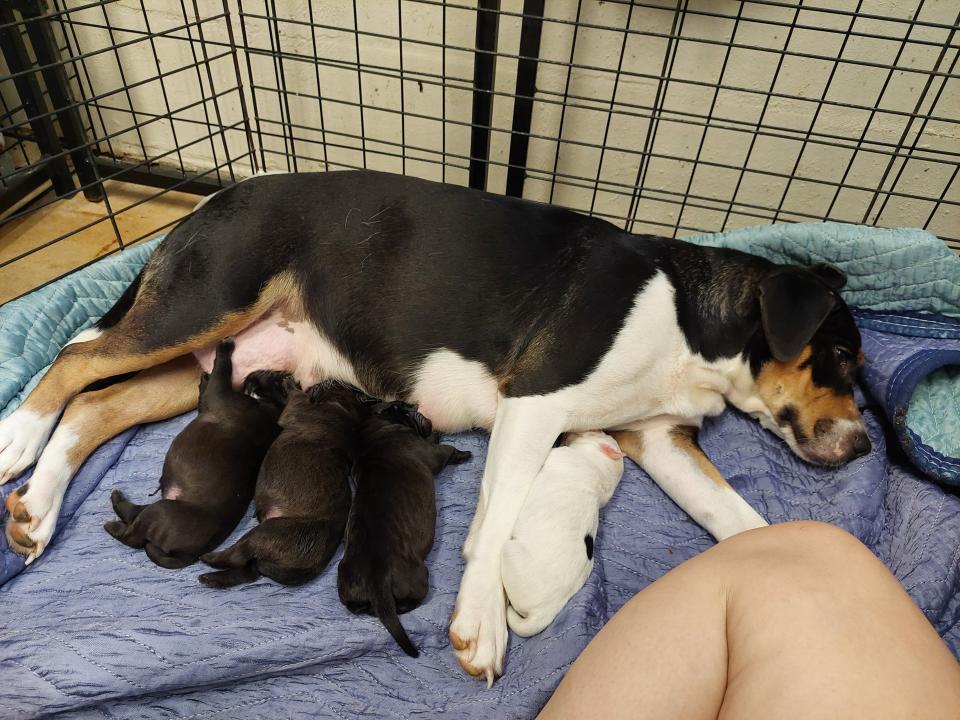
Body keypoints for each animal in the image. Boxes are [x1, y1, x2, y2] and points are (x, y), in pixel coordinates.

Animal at [107, 340, 284, 572]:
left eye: (279, 378)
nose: (260, 370)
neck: (273, 408)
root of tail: (187, 555)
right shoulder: (211, 402)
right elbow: (205, 394)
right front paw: (203, 381)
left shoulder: (220, 393)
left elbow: (222, 369)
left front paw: (224, 347)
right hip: (160, 506)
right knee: (134, 515)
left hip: (161, 511)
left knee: (133, 536)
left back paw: (114, 518)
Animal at [197, 376, 366, 584]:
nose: (328, 380)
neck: (345, 412)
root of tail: (310, 566)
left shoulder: (297, 409)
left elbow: (295, 397)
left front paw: (288, 384)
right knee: (249, 570)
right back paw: (211, 578)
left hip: (267, 531)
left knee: (238, 557)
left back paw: (210, 559)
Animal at [338, 416, 472, 660]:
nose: (425, 416)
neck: (372, 435)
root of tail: (377, 581)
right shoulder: (432, 453)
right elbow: (447, 450)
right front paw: (461, 451)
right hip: (420, 577)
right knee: (414, 599)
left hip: (346, 583)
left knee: (354, 606)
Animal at [498, 428, 628, 636]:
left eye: (597, 432)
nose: (602, 429)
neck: (601, 472)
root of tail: (544, 613)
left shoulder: (557, 455)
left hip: (509, 551)